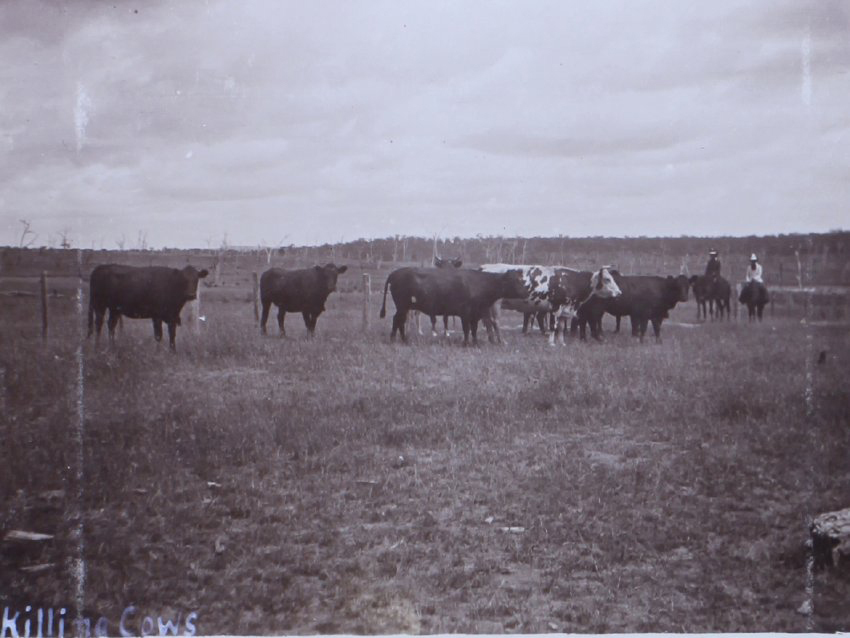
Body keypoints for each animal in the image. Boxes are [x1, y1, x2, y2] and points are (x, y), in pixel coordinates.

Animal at [379, 267, 527, 345]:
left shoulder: (476, 314)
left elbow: (474, 330)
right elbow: (467, 329)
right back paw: (395, 339)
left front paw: (475, 343)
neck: (479, 284)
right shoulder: (465, 313)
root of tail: (395, 272)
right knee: (397, 320)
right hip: (402, 306)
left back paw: (403, 339)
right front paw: (466, 344)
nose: (527, 292)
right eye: (515, 281)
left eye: (522, 280)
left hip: (404, 307)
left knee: (400, 321)